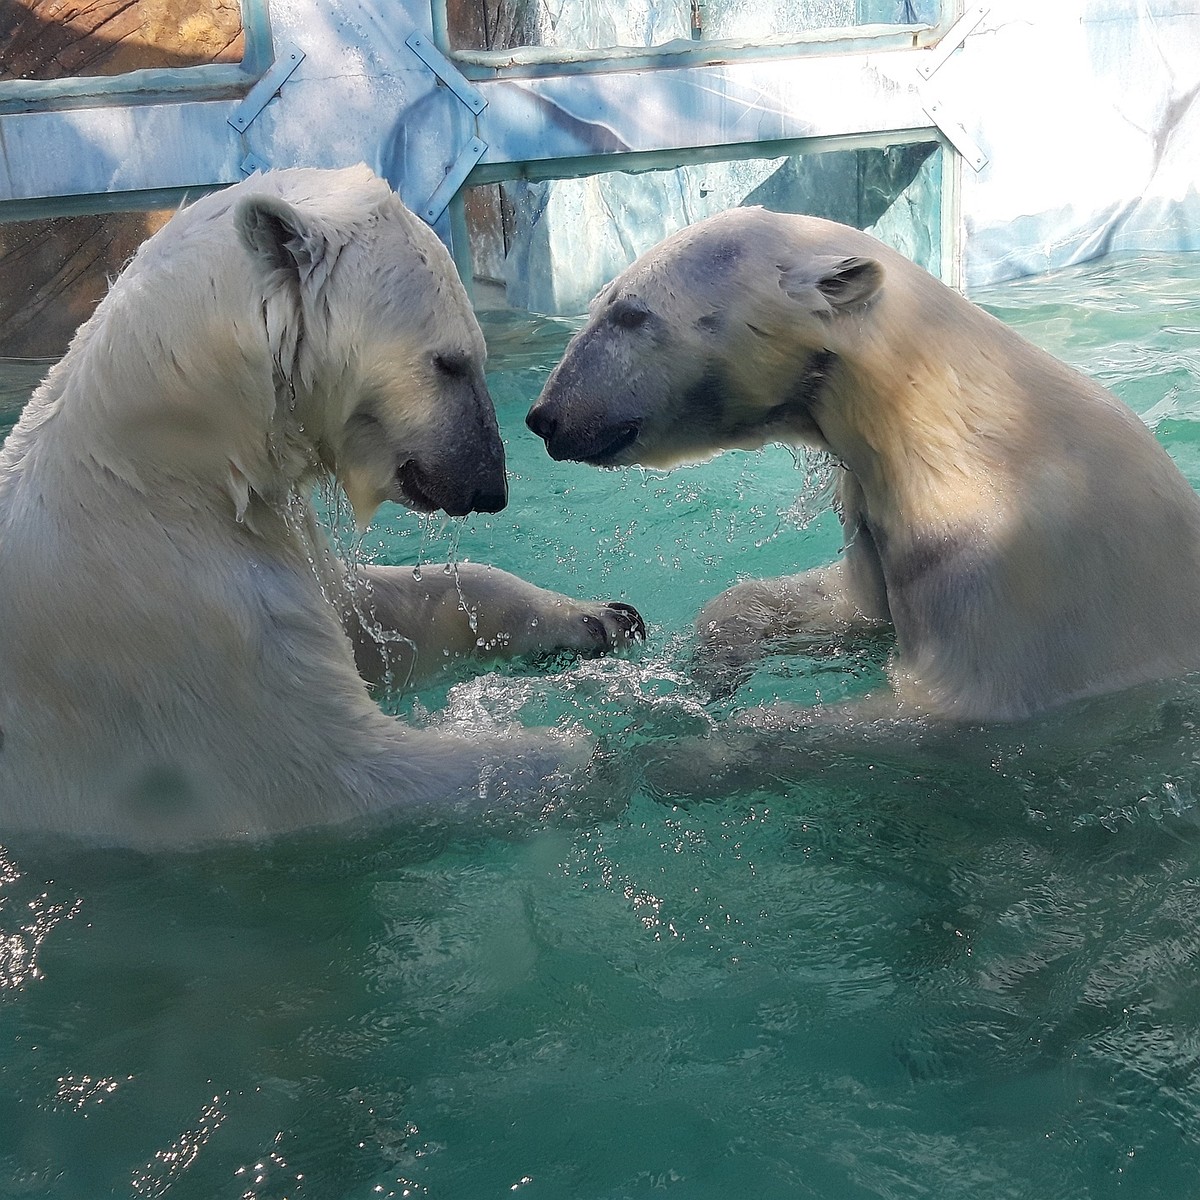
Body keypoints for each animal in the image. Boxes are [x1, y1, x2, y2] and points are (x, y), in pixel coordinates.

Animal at [0, 166, 643, 844]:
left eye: (476, 355)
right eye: (449, 362)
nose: (490, 488)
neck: (162, 463)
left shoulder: (272, 529)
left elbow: (372, 616)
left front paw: (602, 616)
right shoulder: (180, 632)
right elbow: (334, 772)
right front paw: (595, 755)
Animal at [528, 207, 1200, 724]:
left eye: (631, 313)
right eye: (600, 304)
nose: (545, 417)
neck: (931, 417)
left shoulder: (1011, 568)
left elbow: (945, 708)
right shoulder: (880, 515)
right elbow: (851, 608)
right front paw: (712, 665)